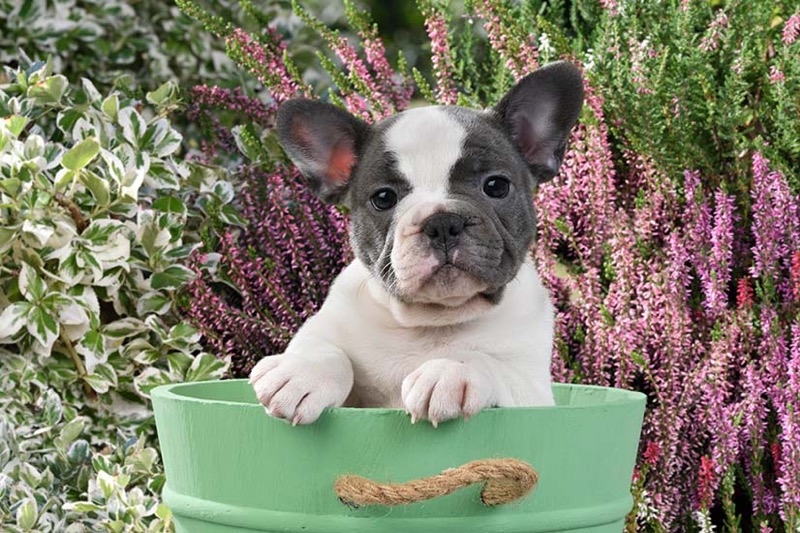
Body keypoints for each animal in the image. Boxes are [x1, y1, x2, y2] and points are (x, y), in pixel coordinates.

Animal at [247, 60, 584, 426]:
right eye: (383, 198)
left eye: (496, 186)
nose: (442, 223)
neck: (432, 322)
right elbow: (325, 348)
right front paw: (302, 373)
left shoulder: (531, 390)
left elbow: (488, 361)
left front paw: (451, 370)